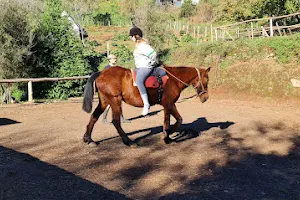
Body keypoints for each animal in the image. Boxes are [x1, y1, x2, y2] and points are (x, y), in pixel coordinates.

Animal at [81, 65, 210, 147]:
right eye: (207, 80)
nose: (206, 98)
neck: (173, 79)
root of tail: (101, 73)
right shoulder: (169, 103)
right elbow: (177, 120)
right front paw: (167, 135)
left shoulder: (167, 105)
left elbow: (169, 121)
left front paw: (167, 136)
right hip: (115, 101)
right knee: (116, 121)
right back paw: (129, 142)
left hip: (104, 102)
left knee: (94, 117)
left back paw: (89, 139)